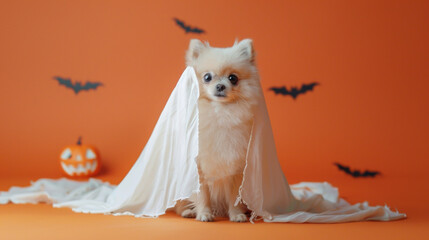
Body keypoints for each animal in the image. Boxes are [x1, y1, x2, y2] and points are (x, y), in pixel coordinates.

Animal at [173, 39, 260, 221]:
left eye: (233, 78)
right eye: (207, 77)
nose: (220, 86)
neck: (220, 113)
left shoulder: (236, 170)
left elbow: (234, 197)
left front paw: (237, 215)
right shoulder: (199, 169)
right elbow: (203, 196)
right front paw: (204, 214)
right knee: (179, 205)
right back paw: (188, 212)